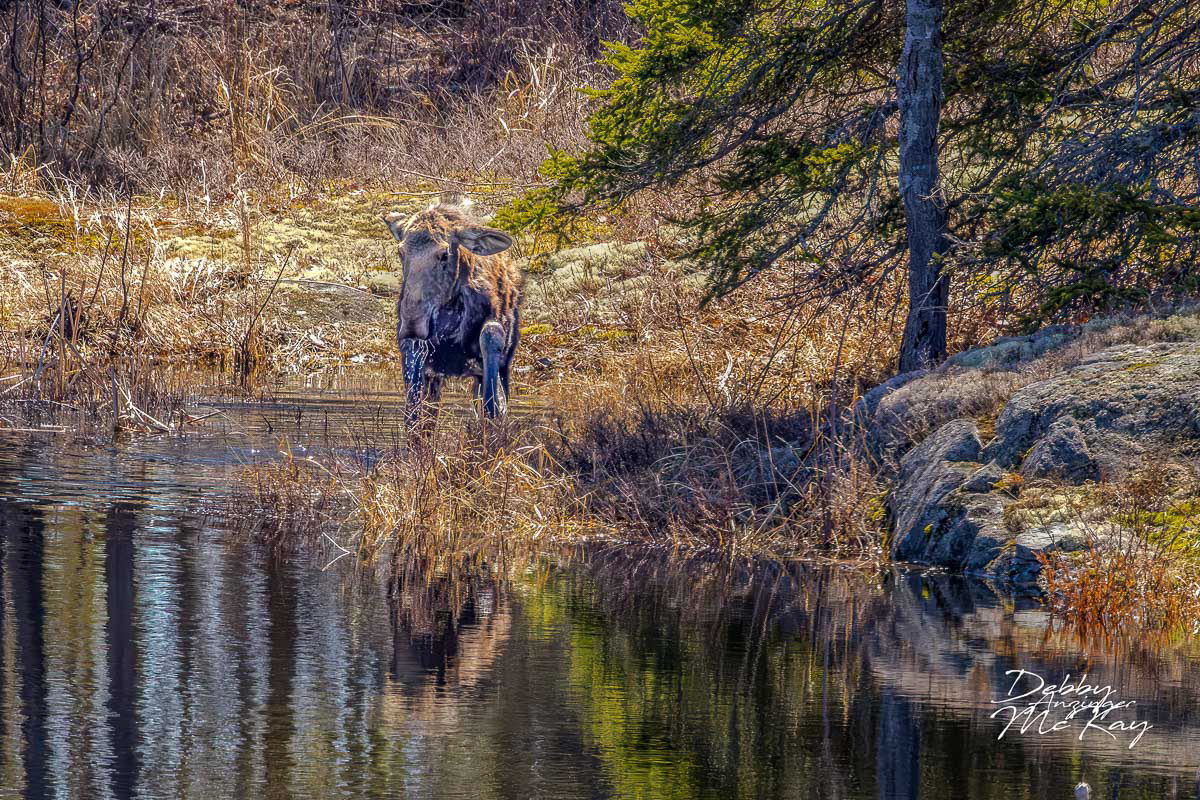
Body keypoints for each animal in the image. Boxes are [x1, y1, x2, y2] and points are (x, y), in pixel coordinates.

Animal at [383, 201, 521, 420]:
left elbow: (492, 404)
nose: (413, 322)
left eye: (444, 254)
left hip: (503, 363)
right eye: (401, 252)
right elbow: (414, 413)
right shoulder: (419, 356)